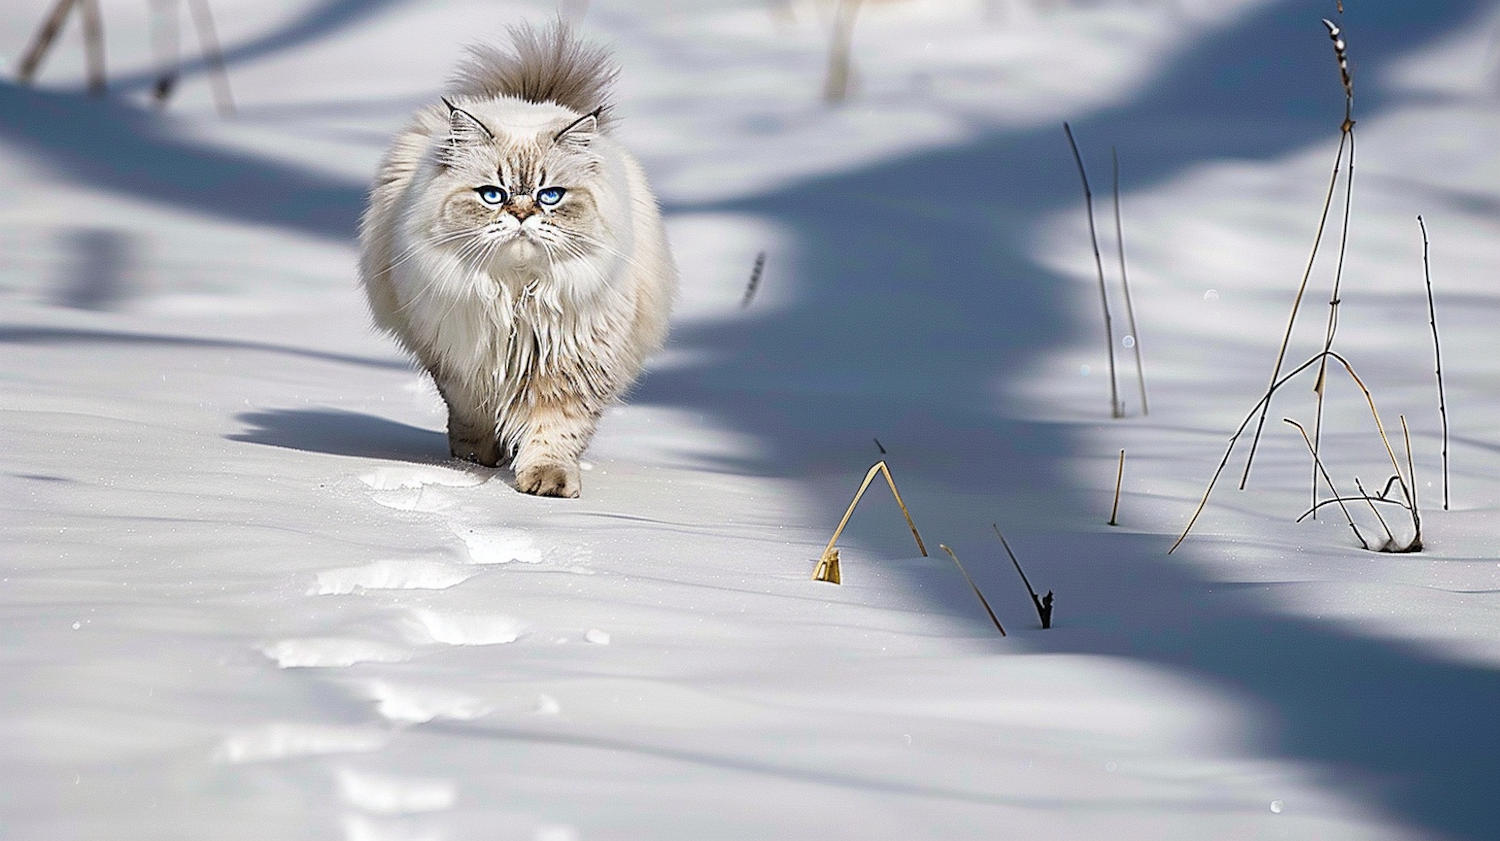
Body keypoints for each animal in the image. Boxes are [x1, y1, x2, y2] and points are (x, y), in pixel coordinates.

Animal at [360, 22, 678, 494]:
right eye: (493, 195)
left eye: (551, 196)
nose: (524, 214)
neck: (517, 291)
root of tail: (530, 99)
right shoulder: (462, 358)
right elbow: (472, 415)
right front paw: (476, 460)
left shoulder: (570, 360)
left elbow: (555, 432)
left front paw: (547, 481)